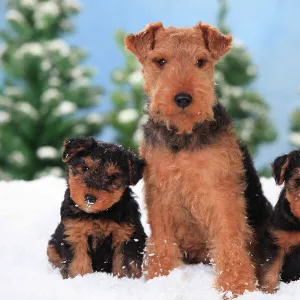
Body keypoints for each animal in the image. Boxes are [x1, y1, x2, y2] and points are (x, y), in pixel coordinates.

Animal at [46, 138, 148, 278]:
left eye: (112, 177)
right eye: (85, 168)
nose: (90, 198)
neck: (98, 214)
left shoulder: (126, 235)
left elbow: (124, 263)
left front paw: (124, 279)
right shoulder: (75, 233)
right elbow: (78, 261)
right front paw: (81, 278)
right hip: (52, 245)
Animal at [124, 21, 272, 298]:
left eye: (201, 61)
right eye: (160, 61)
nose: (183, 99)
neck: (183, 136)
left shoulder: (220, 191)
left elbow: (230, 242)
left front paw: (237, 288)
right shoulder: (160, 191)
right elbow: (161, 242)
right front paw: (161, 279)